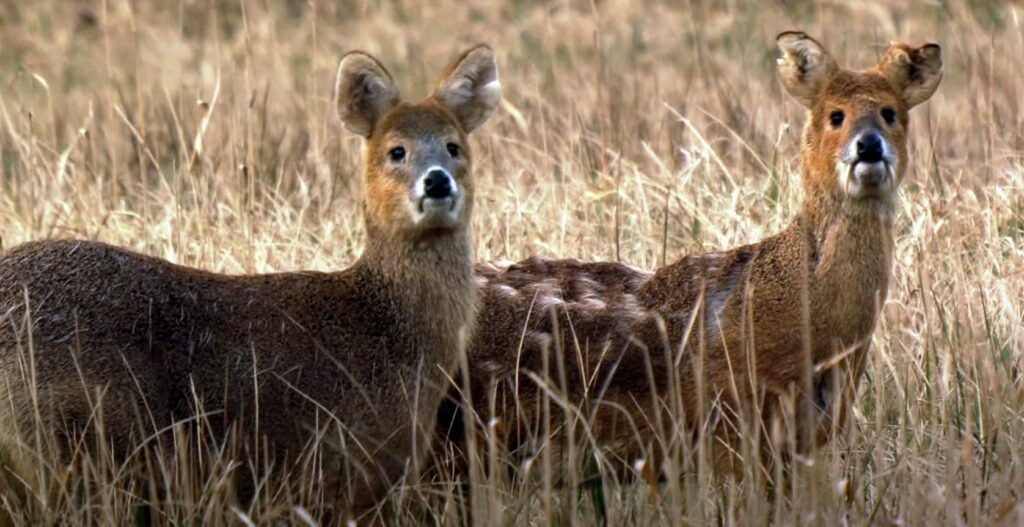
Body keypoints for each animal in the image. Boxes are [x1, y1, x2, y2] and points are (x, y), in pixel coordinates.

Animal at [0, 45, 499, 523]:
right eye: (396, 151)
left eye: (454, 146)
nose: (437, 182)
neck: (389, 330)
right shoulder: (347, 473)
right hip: (70, 443)